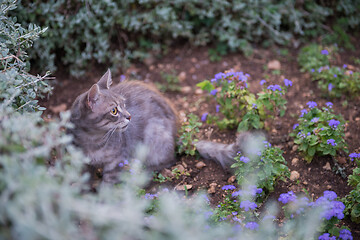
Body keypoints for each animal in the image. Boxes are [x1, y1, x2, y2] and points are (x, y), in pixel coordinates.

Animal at [70, 69, 250, 184]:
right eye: (114, 110)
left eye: (124, 104)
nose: (129, 116)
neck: (93, 140)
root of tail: (177, 136)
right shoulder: (81, 163)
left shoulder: (116, 161)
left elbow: (107, 185)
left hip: (153, 136)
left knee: (165, 161)